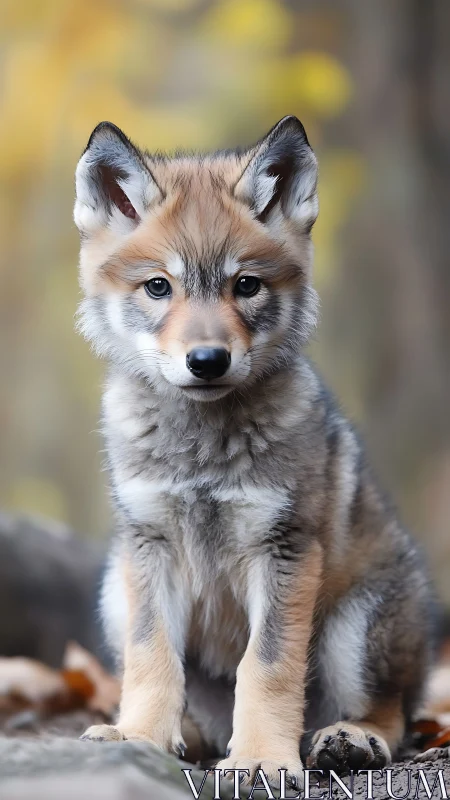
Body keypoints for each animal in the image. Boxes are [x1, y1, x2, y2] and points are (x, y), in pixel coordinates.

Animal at [74, 116, 433, 785]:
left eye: (246, 286)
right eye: (158, 287)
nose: (207, 360)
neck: (201, 457)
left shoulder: (284, 547)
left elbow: (266, 667)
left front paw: (265, 757)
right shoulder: (149, 542)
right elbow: (152, 658)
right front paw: (140, 737)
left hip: (355, 630)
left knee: (393, 715)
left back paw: (349, 739)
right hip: (114, 589)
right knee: (195, 714)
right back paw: (177, 738)